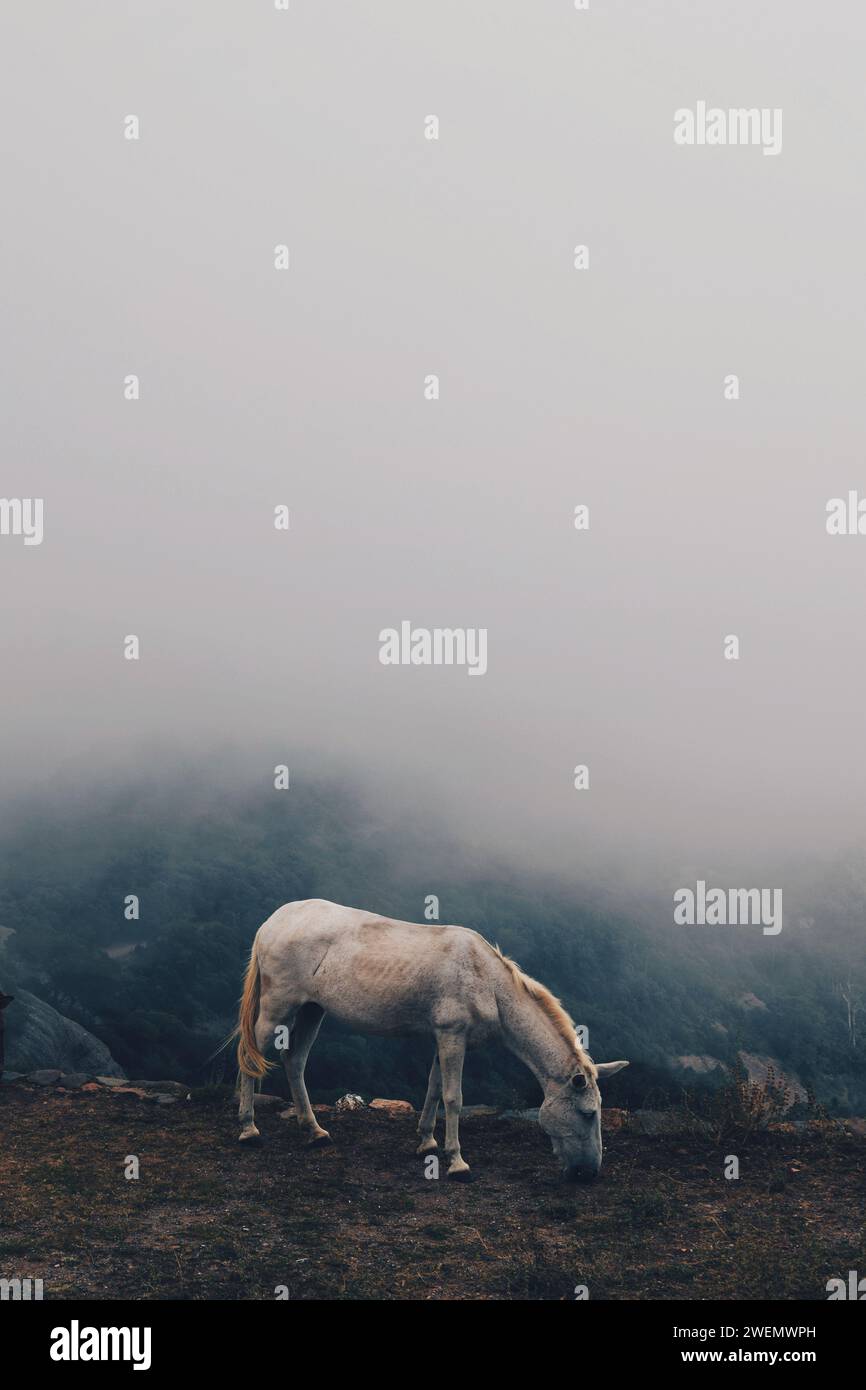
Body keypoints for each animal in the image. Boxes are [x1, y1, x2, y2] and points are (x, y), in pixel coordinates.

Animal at [234, 895, 631, 1178]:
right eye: (587, 1113)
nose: (589, 1172)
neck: (488, 982)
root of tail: (273, 922)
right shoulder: (453, 1035)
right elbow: (453, 1097)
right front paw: (457, 1162)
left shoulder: (445, 1037)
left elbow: (434, 1088)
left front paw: (426, 1142)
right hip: (278, 1006)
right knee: (251, 1057)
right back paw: (249, 1129)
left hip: (312, 1009)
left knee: (294, 1060)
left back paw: (314, 1131)